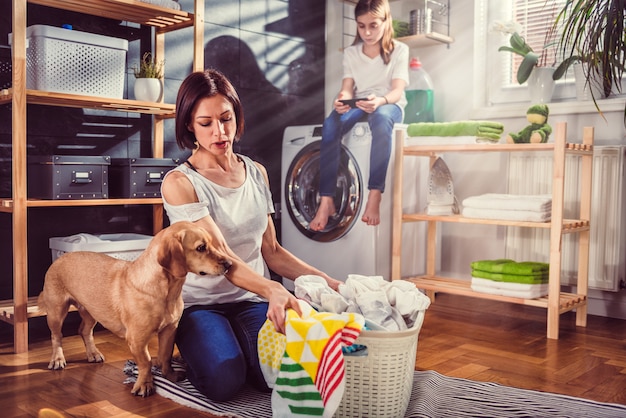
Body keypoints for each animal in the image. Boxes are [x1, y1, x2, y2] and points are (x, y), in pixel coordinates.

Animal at [37, 220, 232, 396]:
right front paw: (144, 385)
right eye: (201, 248)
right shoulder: (137, 339)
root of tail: (61, 257)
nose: (230, 264)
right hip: (57, 311)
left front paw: (169, 375)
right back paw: (58, 359)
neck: (168, 292)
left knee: (84, 331)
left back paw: (93, 354)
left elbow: (165, 356)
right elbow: (146, 362)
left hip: (91, 311)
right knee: (57, 336)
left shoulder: (170, 330)